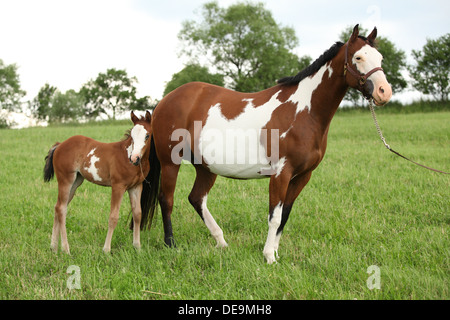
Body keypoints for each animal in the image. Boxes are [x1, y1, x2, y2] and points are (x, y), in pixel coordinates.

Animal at [43, 111, 155, 254]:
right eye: (132, 136)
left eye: (147, 135)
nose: (134, 158)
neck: (127, 155)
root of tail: (60, 145)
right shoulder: (118, 186)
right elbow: (113, 217)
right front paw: (106, 250)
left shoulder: (136, 187)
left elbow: (137, 215)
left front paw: (137, 247)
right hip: (65, 180)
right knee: (61, 209)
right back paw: (66, 249)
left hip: (76, 181)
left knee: (58, 207)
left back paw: (54, 247)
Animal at [143, 25, 390, 264]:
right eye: (358, 57)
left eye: (380, 58)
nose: (384, 92)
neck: (303, 111)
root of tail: (165, 100)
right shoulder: (281, 173)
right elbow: (275, 216)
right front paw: (269, 256)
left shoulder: (302, 176)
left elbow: (285, 215)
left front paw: (275, 253)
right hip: (170, 163)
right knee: (167, 199)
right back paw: (170, 244)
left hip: (205, 167)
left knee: (196, 198)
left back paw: (221, 242)